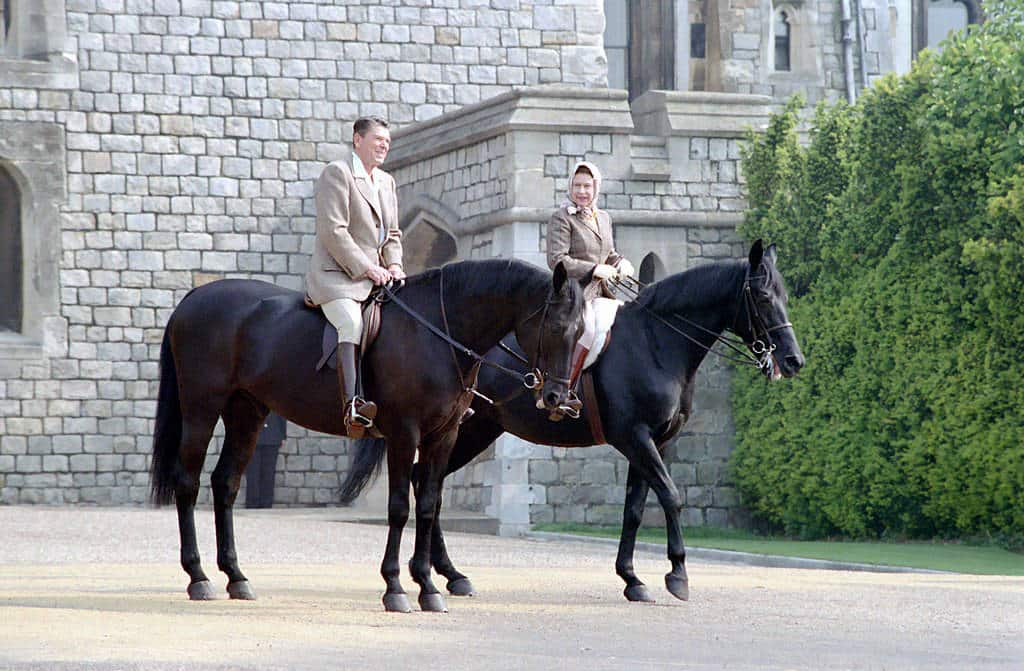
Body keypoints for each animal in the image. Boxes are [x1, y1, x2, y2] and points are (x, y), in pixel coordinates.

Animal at [150, 258, 585, 614]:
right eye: (556, 326)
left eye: (582, 330)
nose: (557, 398)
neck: (436, 332)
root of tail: (195, 297)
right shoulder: (403, 433)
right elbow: (400, 508)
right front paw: (395, 587)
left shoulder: (442, 437)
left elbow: (428, 505)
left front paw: (428, 586)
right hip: (201, 408)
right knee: (188, 483)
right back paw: (198, 577)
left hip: (246, 413)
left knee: (225, 484)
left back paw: (236, 577)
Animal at [389, 239, 798, 602]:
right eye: (764, 297)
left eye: (785, 296)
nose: (794, 360)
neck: (655, 342)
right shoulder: (635, 437)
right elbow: (670, 495)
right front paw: (678, 575)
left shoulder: (654, 442)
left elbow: (635, 509)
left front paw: (632, 578)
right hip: (462, 430)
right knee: (427, 484)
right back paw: (441, 572)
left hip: (475, 430)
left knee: (429, 484)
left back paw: (447, 573)